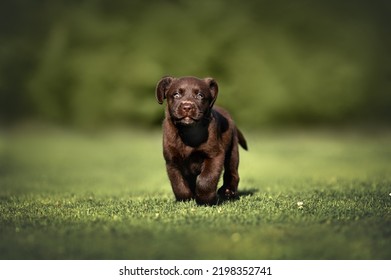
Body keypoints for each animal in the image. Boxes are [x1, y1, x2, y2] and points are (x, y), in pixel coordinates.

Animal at [156, 75, 248, 205]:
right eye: (176, 95)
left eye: (200, 95)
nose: (187, 107)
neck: (188, 132)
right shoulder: (172, 161)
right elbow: (178, 183)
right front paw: (186, 199)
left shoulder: (214, 154)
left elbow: (206, 179)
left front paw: (206, 200)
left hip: (232, 150)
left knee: (232, 172)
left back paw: (228, 191)